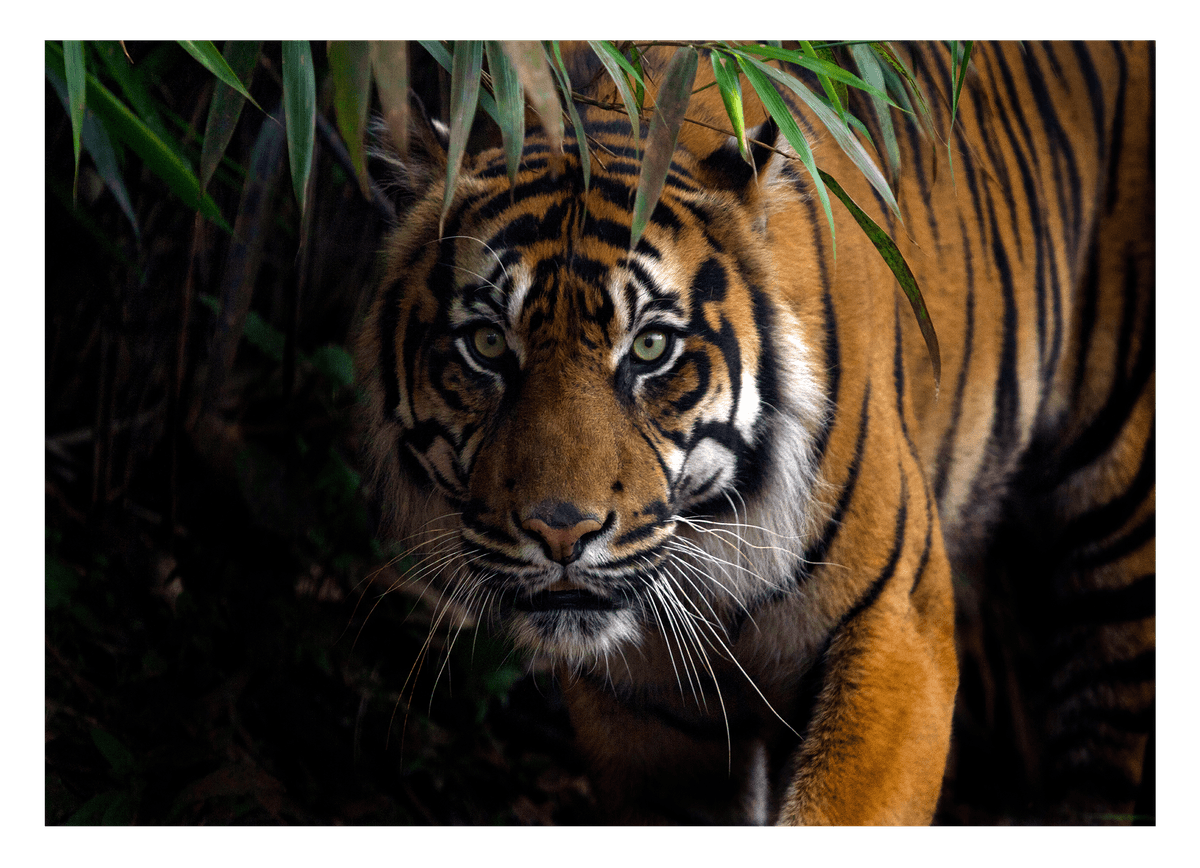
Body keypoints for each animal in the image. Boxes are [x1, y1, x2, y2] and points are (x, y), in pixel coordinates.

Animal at [355, 40, 1155, 825]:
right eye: (488, 345)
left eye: (650, 347)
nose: (560, 532)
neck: (711, 547)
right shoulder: (651, 718)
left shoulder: (899, 629)